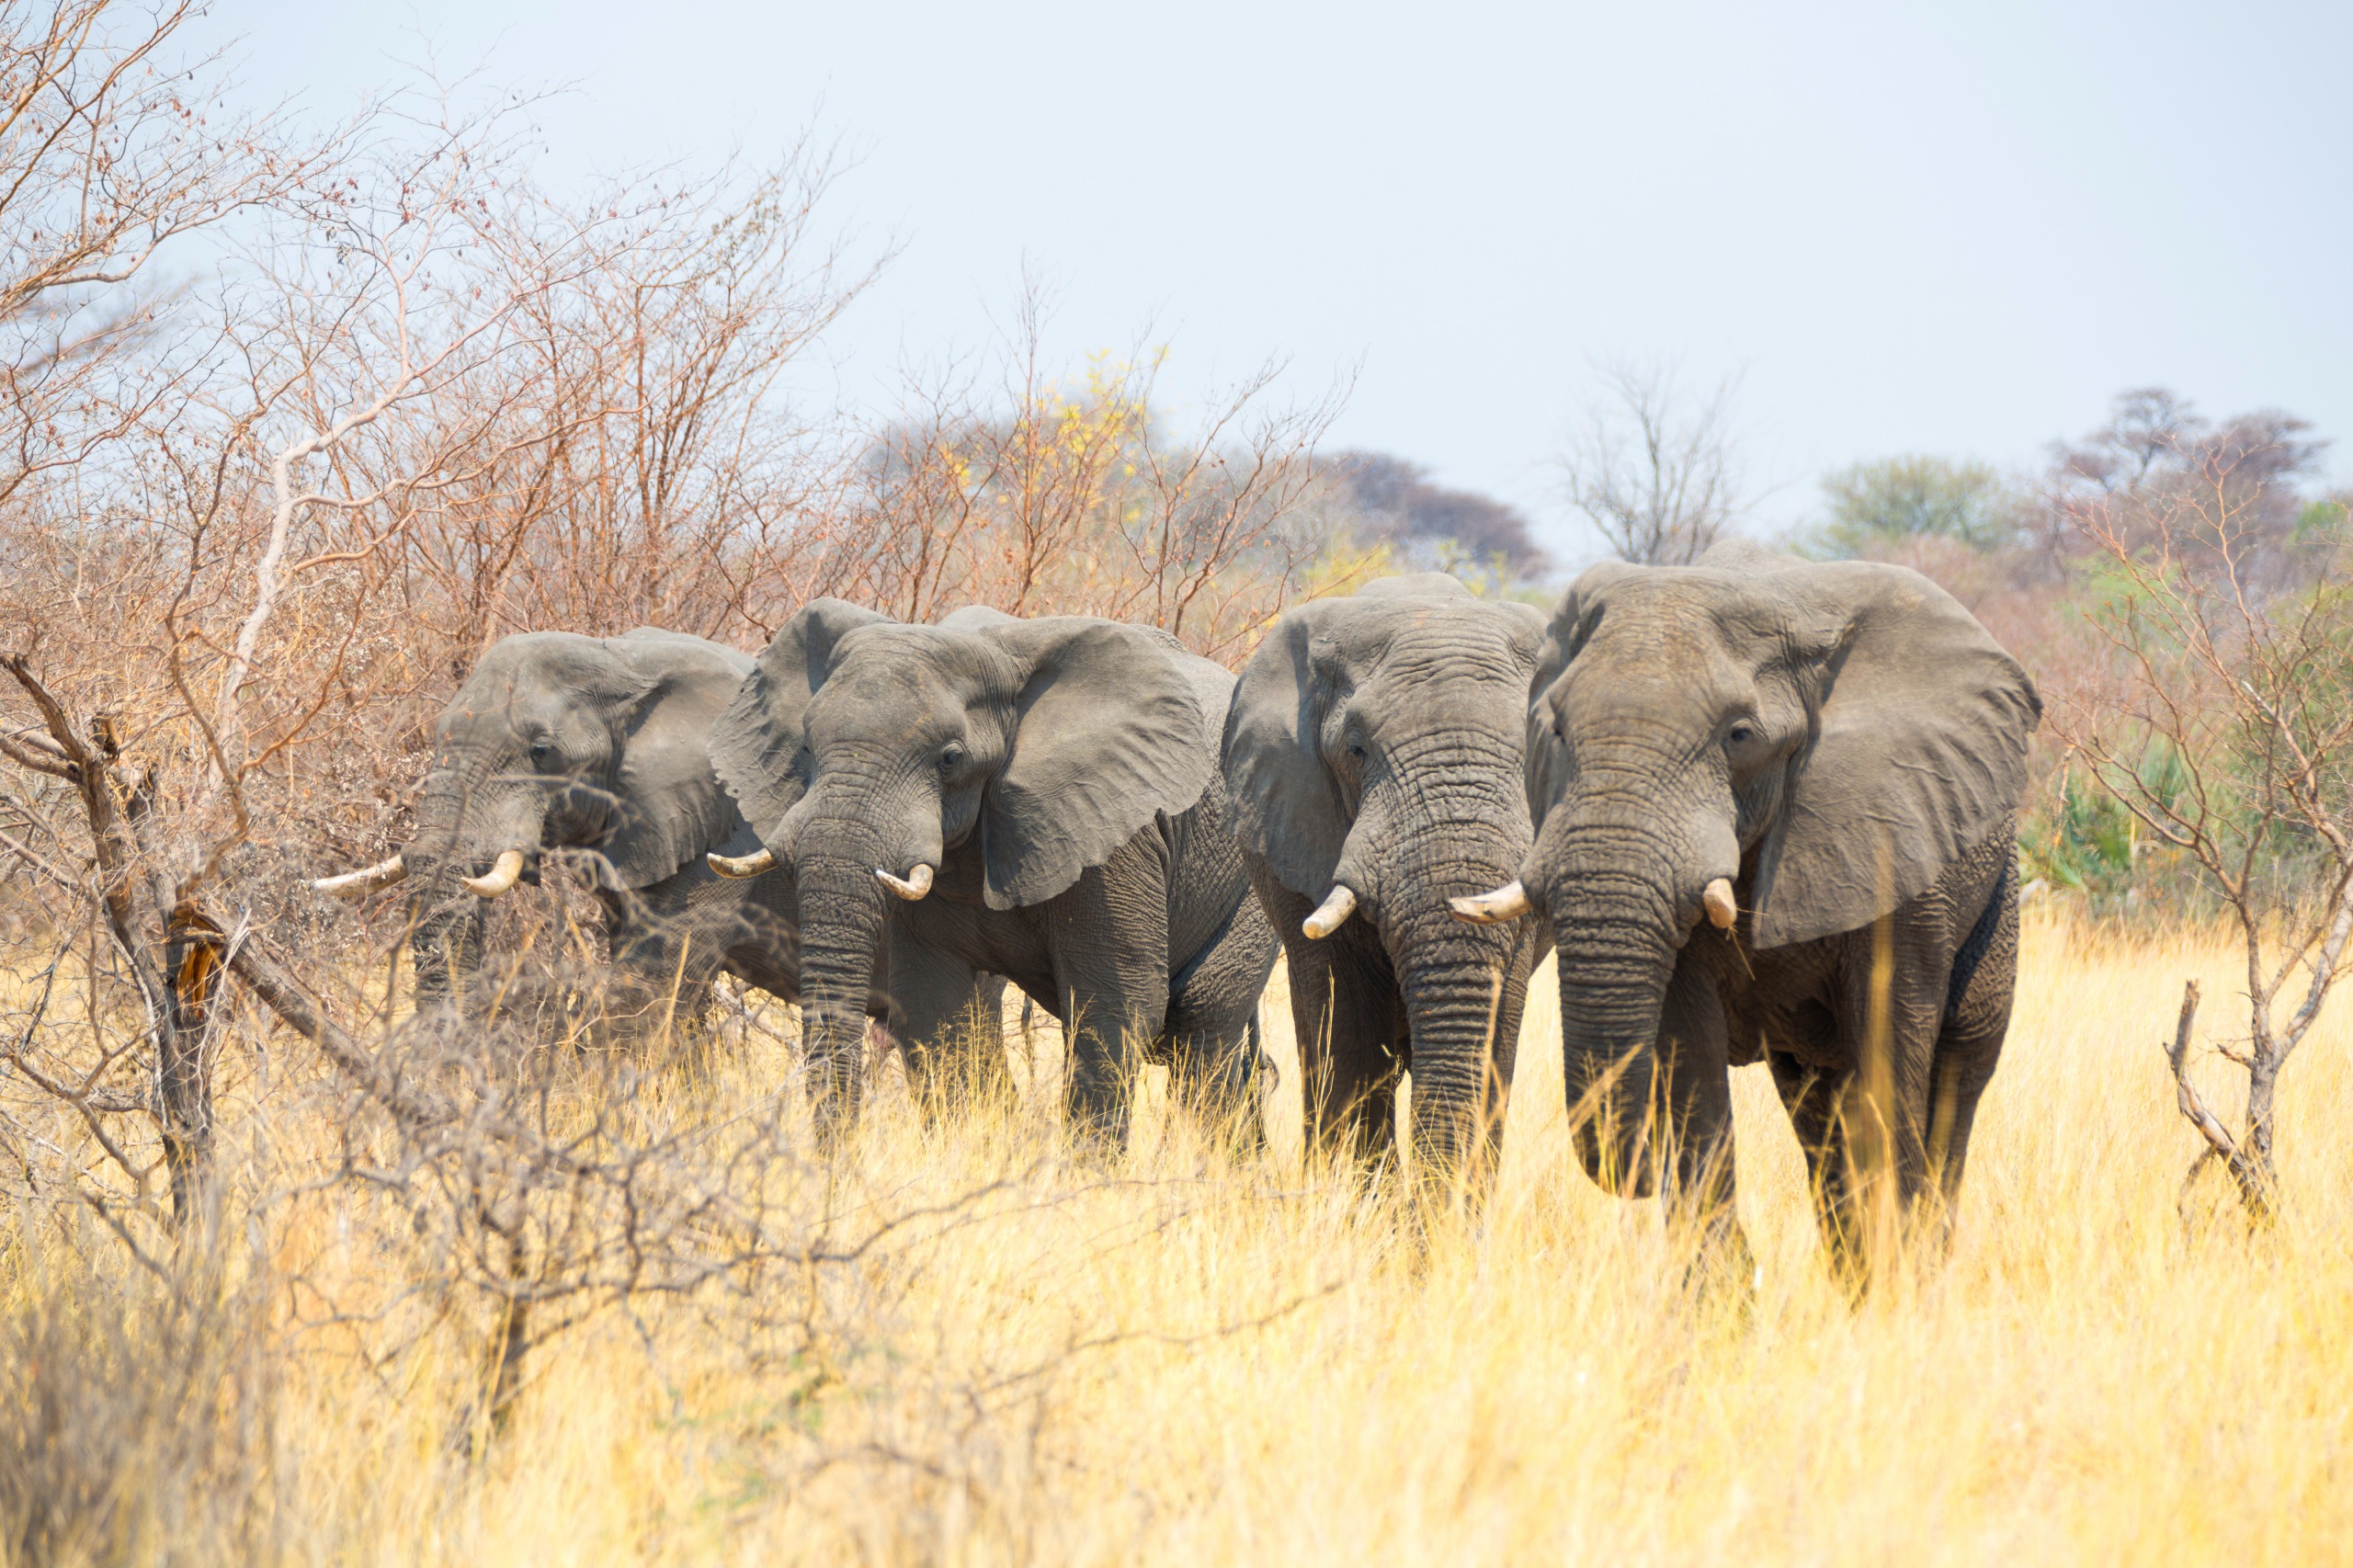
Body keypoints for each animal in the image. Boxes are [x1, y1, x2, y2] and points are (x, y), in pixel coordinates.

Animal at [706, 593, 1279, 1143]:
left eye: (950, 758)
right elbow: (935, 1009)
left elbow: (1114, 1008)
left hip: (1252, 884)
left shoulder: (1115, 835)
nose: (837, 1165)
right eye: (805, 746)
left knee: (1200, 1028)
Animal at [1468, 541, 2042, 1280]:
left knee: (1956, 1073)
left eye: (1739, 735)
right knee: (1818, 1105)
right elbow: (1688, 1053)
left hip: (1993, 888)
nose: (1642, 1173)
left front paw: (1897, 1281)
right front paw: (1720, 1289)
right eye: (1557, 729)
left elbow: (1889, 1043)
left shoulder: (1896, 837)